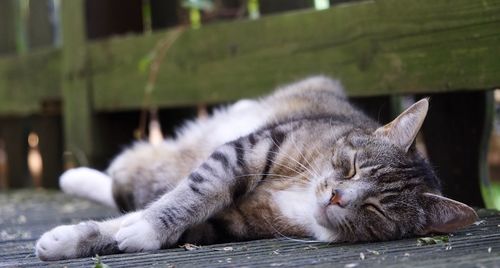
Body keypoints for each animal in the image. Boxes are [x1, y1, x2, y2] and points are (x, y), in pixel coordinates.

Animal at [35, 76, 476, 260]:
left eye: (376, 209)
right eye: (351, 167)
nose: (337, 196)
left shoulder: (227, 224)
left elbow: (137, 224)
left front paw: (125, 234)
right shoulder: (248, 150)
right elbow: (194, 191)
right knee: (131, 178)